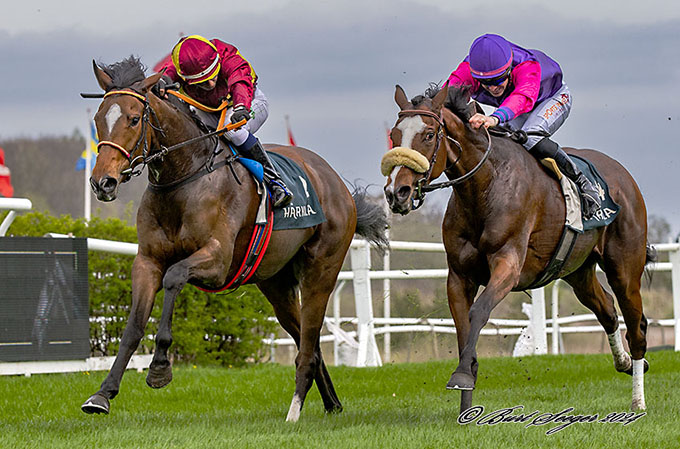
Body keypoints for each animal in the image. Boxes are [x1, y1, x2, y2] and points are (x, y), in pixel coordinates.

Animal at [79, 57, 388, 422]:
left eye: (133, 118)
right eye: (98, 119)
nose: (103, 182)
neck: (184, 177)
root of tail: (337, 183)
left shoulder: (217, 260)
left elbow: (174, 277)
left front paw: (159, 367)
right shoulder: (147, 261)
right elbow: (133, 326)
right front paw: (102, 394)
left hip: (320, 273)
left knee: (308, 342)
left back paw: (294, 411)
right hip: (275, 284)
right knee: (308, 344)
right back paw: (332, 404)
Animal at [382, 84, 652, 412]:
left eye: (430, 134)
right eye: (395, 135)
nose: (397, 192)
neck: (485, 186)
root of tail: (623, 175)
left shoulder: (508, 265)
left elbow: (478, 312)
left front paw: (462, 375)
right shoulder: (459, 275)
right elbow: (463, 327)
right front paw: (466, 405)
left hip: (625, 268)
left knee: (636, 326)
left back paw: (638, 399)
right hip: (577, 271)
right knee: (608, 310)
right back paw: (624, 362)